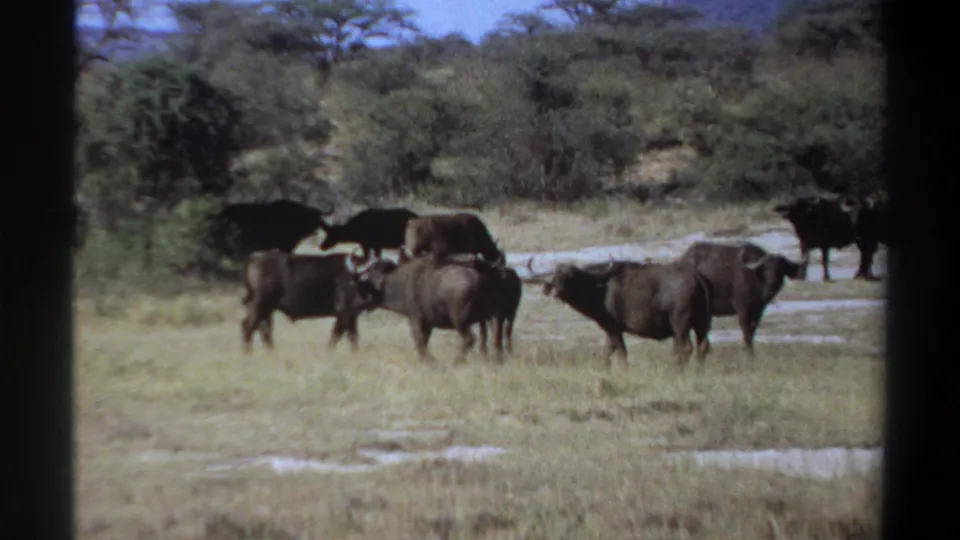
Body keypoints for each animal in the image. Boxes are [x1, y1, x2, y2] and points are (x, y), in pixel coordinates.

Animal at [240, 248, 372, 353]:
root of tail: (253, 262)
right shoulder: (346, 313)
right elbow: (343, 336)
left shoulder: (348, 316)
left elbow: (344, 336)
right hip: (258, 305)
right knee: (248, 327)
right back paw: (248, 353)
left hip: (266, 310)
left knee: (265, 331)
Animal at [345, 254, 502, 364]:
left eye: (367, 278)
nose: (354, 303)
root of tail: (479, 278)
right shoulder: (428, 325)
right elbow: (424, 341)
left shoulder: (416, 320)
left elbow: (419, 341)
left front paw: (428, 361)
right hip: (491, 318)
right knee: (492, 339)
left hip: (460, 321)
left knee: (469, 339)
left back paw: (456, 360)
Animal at [529, 258, 713, 370]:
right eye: (555, 276)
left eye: (571, 276)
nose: (556, 291)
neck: (601, 289)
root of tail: (695, 276)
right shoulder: (609, 331)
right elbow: (606, 352)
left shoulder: (613, 328)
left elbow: (621, 353)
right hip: (702, 324)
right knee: (702, 346)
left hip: (680, 324)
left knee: (686, 348)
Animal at [677, 241, 807, 355]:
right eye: (766, 269)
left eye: (781, 269)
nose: (773, 283)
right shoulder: (742, 309)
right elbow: (747, 334)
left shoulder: (758, 311)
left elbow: (752, 331)